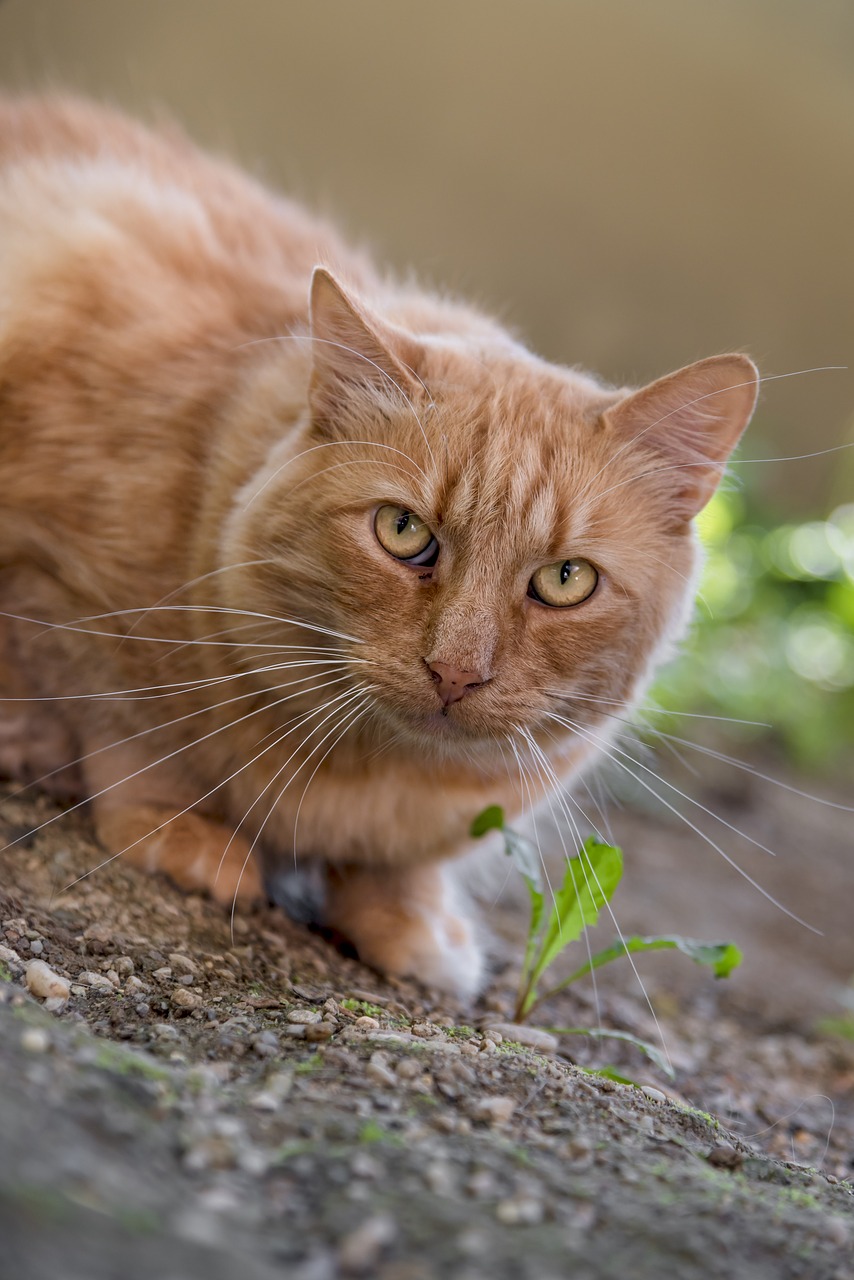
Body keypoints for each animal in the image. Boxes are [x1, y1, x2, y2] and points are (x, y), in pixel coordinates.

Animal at [1, 97, 763, 998]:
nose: (456, 671)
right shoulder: (63, 600)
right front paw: (182, 831)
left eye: (566, 579)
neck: (372, 778)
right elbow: (129, 732)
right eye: (404, 533)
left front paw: (408, 918)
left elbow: (403, 870)